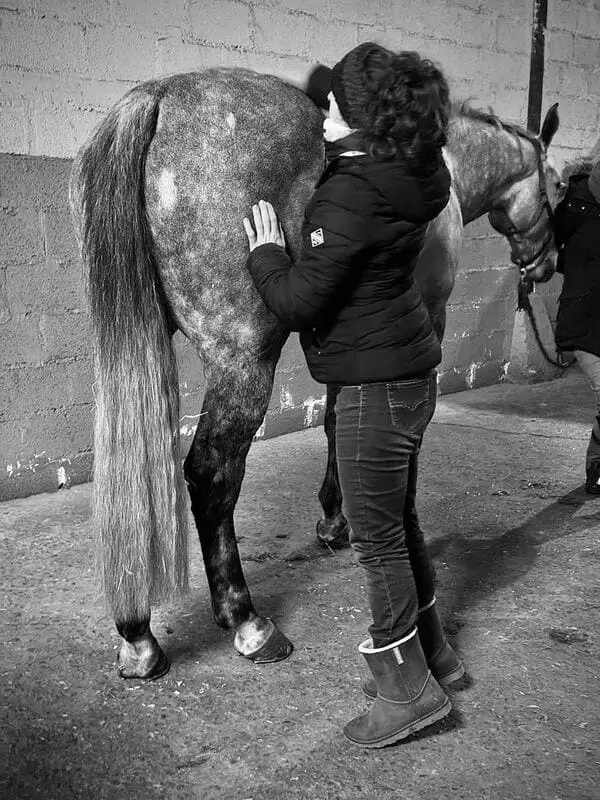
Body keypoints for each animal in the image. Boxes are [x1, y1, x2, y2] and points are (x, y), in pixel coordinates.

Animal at [70, 67, 560, 679]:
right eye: (557, 186)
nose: (545, 264)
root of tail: (157, 98)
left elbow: (337, 419)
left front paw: (335, 520)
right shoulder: (428, 319)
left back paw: (138, 636)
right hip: (242, 360)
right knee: (211, 476)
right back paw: (246, 622)